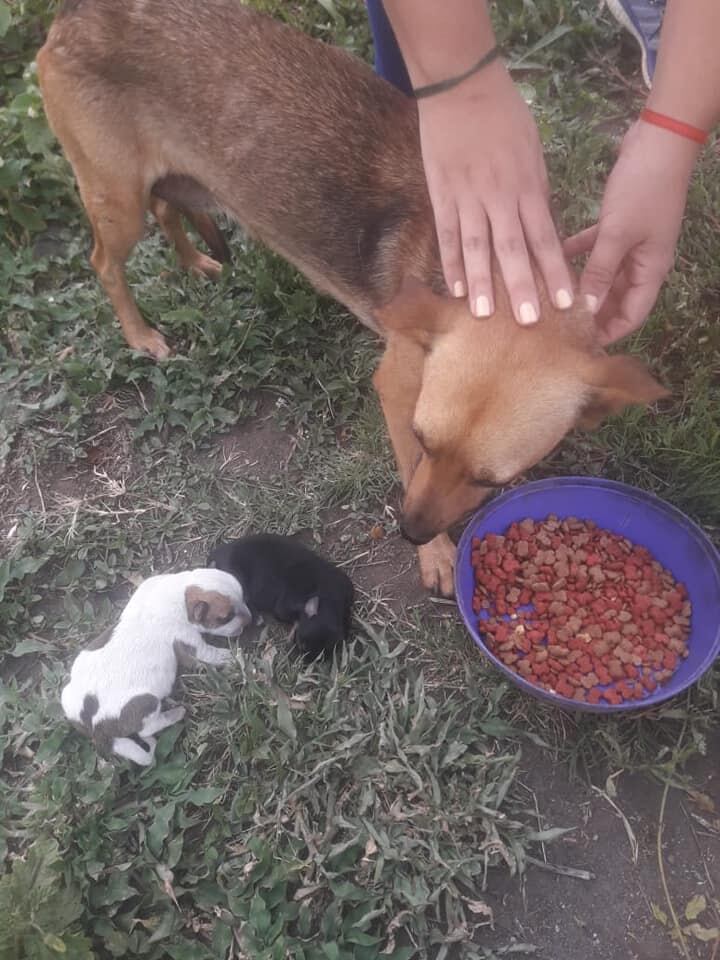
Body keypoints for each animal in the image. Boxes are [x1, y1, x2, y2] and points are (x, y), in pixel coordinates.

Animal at [36, 0, 668, 596]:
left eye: (492, 481)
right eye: (420, 438)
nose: (408, 532)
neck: (502, 275)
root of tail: (78, 12)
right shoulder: (398, 391)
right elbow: (407, 465)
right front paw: (437, 557)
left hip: (168, 184)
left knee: (168, 208)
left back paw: (195, 263)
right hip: (117, 202)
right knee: (105, 264)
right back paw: (141, 334)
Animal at [62, 568, 253, 764]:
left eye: (244, 596)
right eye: (225, 617)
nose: (250, 619)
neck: (179, 595)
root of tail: (96, 729)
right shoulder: (188, 641)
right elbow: (207, 654)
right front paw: (234, 657)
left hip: (68, 698)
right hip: (146, 702)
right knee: (147, 729)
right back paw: (175, 714)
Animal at [207, 532, 352, 660]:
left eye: (322, 656)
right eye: (301, 644)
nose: (304, 661)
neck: (327, 597)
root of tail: (216, 553)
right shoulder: (284, 606)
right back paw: (256, 617)